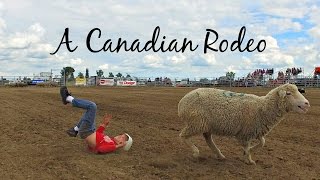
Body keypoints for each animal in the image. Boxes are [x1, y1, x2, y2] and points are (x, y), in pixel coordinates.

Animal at [179, 83, 308, 165]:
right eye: (288, 93)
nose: (307, 103)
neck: (262, 108)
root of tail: (182, 102)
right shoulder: (246, 133)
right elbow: (247, 145)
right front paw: (248, 159)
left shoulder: (256, 129)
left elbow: (262, 143)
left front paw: (249, 152)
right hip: (196, 122)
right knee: (183, 136)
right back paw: (196, 152)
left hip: (206, 124)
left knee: (208, 139)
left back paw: (219, 155)